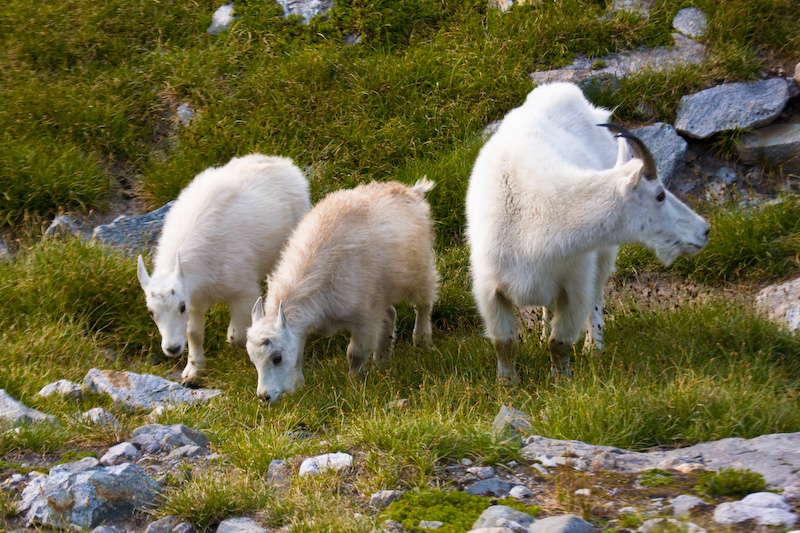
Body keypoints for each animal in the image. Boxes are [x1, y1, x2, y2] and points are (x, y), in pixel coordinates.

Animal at [466, 82, 708, 382]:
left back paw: (595, 347)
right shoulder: (490, 289)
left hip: (603, 255)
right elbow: (505, 344)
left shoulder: (576, 284)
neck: (534, 211)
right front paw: (507, 384)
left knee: (597, 295)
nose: (704, 231)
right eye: (660, 195)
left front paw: (561, 382)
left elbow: (560, 343)